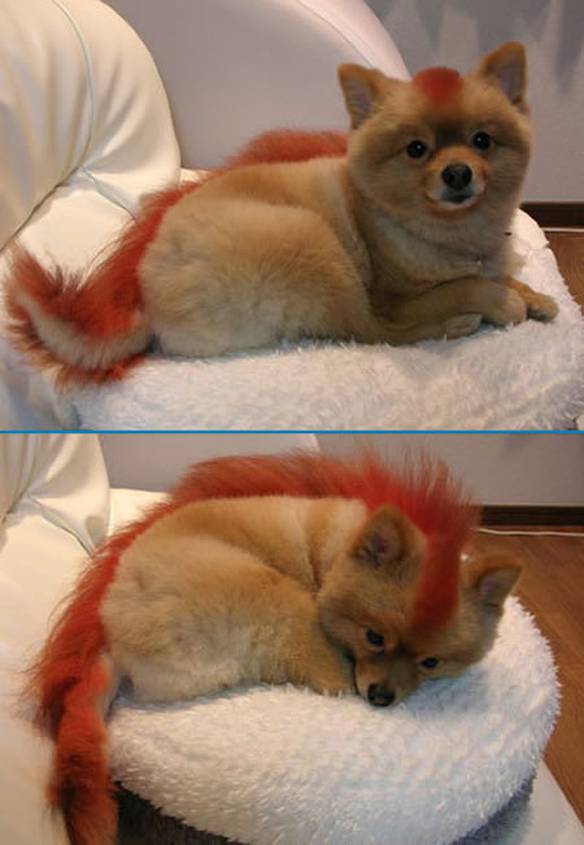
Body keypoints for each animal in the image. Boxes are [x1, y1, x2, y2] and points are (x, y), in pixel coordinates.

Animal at [6, 42, 556, 386]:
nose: (458, 173)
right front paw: (503, 301)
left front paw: (535, 296)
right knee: (375, 332)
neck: (453, 234)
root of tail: (148, 308)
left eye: (482, 140)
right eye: (416, 149)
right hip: (314, 242)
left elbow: (499, 275)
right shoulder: (397, 296)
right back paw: (457, 324)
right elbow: (465, 284)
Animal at [24, 451, 522, 845]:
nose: (382, 697)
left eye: (430, 663)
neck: (335, 550)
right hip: (281, 600)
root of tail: (114, 636)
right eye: (374, 637)